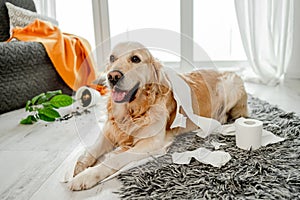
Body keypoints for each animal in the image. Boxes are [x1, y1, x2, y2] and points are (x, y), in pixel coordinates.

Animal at [68, 41, 248, 191]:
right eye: (112, 58)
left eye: (135, 59)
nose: (112, 76)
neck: (134, 111)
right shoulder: (110, 130)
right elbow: (92, 149)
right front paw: (78, 167)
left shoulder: (152, 143)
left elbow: (114, 159)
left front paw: (86, 176)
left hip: (232, 83)